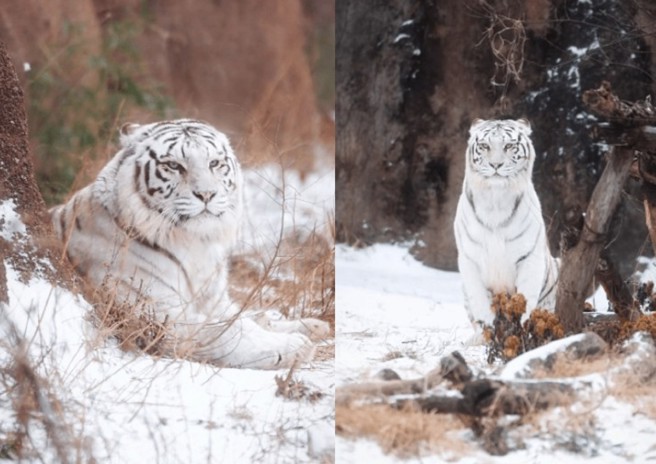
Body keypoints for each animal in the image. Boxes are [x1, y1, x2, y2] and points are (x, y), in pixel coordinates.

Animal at [50, 119, 329, 369]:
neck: (196, 242)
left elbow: (250, 316)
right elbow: (230, 330)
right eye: (174, 166)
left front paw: (312, 325)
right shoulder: (158, 314)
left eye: (214, 163)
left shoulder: (216, 301)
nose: (207, 194)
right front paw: (295, 345)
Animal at [453, 118, 559, 328]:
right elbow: (480, 303)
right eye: (484, 146)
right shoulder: (469, 260)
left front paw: (523, 330)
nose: (496, 164)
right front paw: (489, 331)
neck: (496, 200)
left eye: (509, 146)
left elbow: (526, 298)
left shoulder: (530, 257)